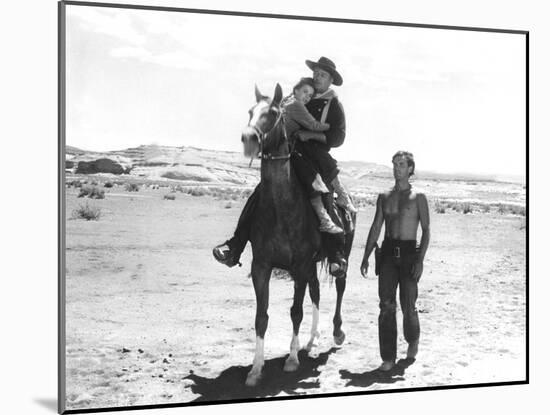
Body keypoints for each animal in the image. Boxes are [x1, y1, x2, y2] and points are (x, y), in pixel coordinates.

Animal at [242, 83, 358, 388]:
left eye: (273, 113)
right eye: (250, 111)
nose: (248, 138)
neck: (281, 208)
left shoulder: (300, 265)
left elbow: (296, 311)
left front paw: (292, 360)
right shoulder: (261, 266)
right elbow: (261, 317)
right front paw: (255, 369)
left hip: (340, 257)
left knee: (339, 287)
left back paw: (336, 333)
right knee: (316, 292)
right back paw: (311, 340)